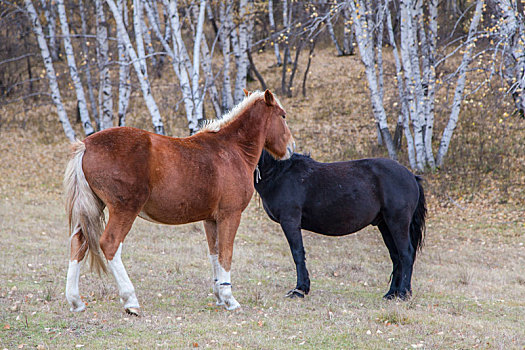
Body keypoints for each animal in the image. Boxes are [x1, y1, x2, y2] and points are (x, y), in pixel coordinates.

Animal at [63, 90, 292, 314]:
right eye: (283, 116)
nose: (291, 147)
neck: (231, 149)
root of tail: (86, 145)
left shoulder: (211, 220)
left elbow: (215, 254)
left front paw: (219, 296)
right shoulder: (230, 215)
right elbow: (226, 254)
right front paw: (229, 299)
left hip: (92, 210)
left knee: (78, 244)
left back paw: (75, 301)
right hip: (124, 210)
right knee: (110, 244)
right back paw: (130, 300)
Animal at [254, 149, 426, 300]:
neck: (280, 174)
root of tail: (412, 176)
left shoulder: (290, 220)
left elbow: (297, 253)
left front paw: (300, 290)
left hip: (397, 222)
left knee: (406, 254)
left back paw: (403, 294)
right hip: (385, 225)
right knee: (396, 257)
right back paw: (391, 294)